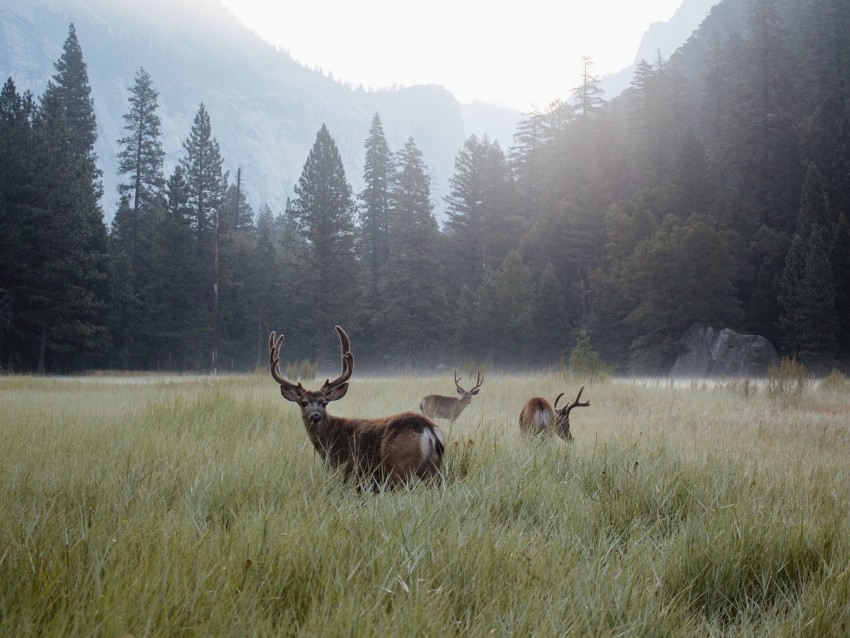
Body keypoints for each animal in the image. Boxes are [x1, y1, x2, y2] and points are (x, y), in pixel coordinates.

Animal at [268, 324, 444, 490]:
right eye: (303, 403)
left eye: (324, 403)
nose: (315, 416)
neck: (329, 440)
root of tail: (430, 430)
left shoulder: (348, 470)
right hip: (433, 469)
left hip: (400, 466)